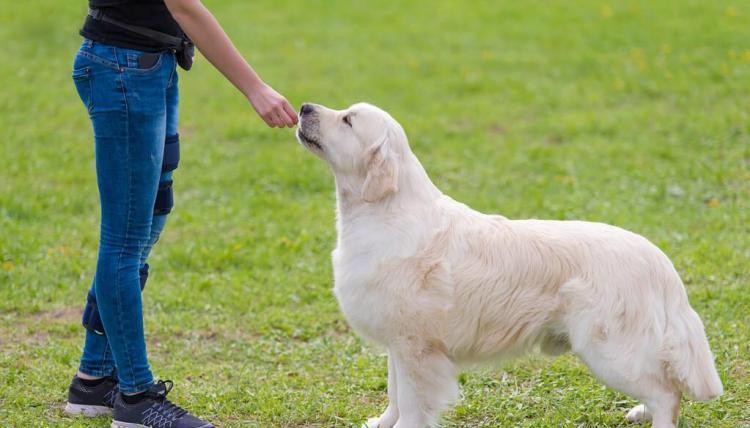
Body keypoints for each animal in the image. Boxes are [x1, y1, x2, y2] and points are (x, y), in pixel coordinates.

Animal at [296, 102, 724, 426]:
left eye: (348, 120)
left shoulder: (418, 349)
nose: (303, 107)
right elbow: (395, 395)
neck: (381, 212)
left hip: (608, 351)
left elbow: (412, 406)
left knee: (668, 392)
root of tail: (659, 260)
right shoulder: (398, 344)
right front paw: (382, 422)